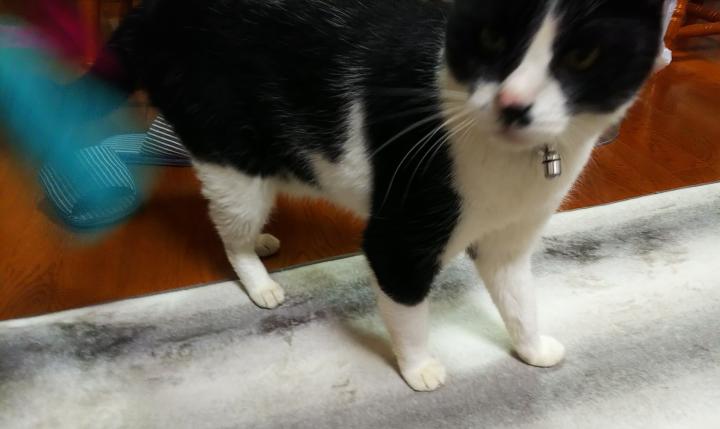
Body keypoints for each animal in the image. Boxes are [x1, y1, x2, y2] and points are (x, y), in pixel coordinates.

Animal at [86, 0, 666, 391]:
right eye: (490, 38)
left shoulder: (511, 239)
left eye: (584, 55)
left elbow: (520, 299)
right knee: (230, 228)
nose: (512, 103)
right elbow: (406, 306)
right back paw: (259, 279)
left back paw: (267, 245)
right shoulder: (400, 237)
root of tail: (146, 14)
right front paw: (418, 368)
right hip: (231, 158)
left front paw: (530, 347)